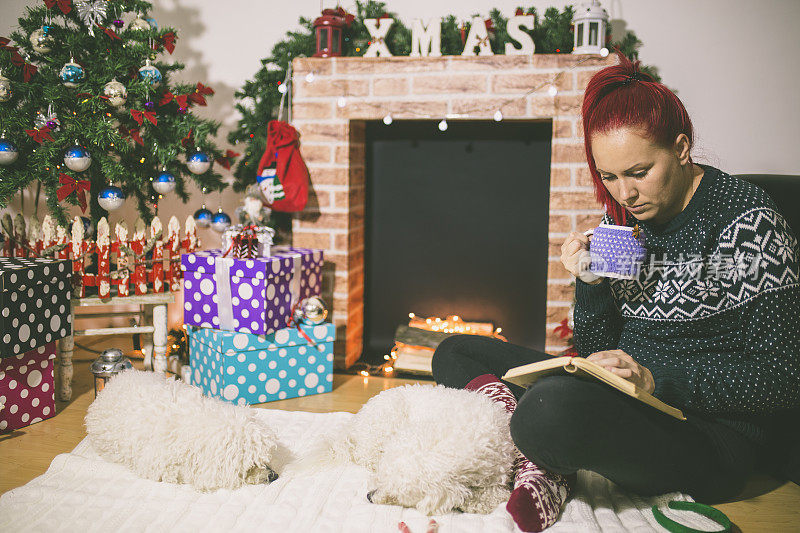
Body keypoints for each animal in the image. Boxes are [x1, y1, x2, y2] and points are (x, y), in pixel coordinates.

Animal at [304, 382, 516, 516]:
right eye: (383, 478)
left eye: (397, 494)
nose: (369, 496)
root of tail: (357, 421)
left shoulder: (500, 467)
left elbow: (495, 492)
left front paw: (481, 501)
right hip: (385, 422)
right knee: (365, 455)